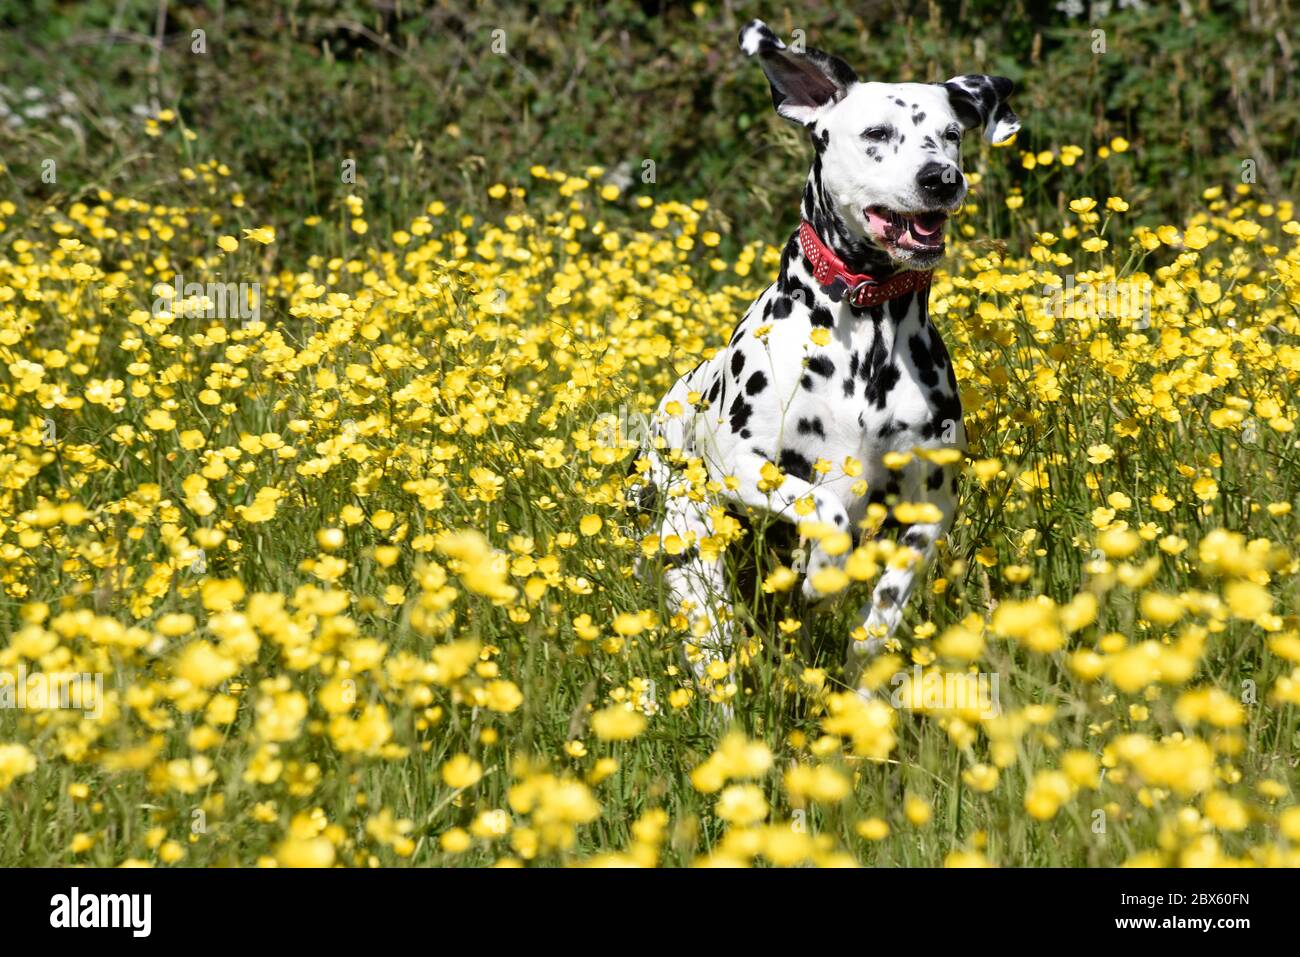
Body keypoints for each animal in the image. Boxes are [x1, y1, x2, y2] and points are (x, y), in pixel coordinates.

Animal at [629, 20, 1013, 696]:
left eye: (952, 134)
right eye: (877, 134)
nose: (941, 179)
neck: (866, 331)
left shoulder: (931, 505)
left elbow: (886, 601)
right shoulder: (743, 463)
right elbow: (827, 510)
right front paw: (823, 573)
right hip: (697, 581)